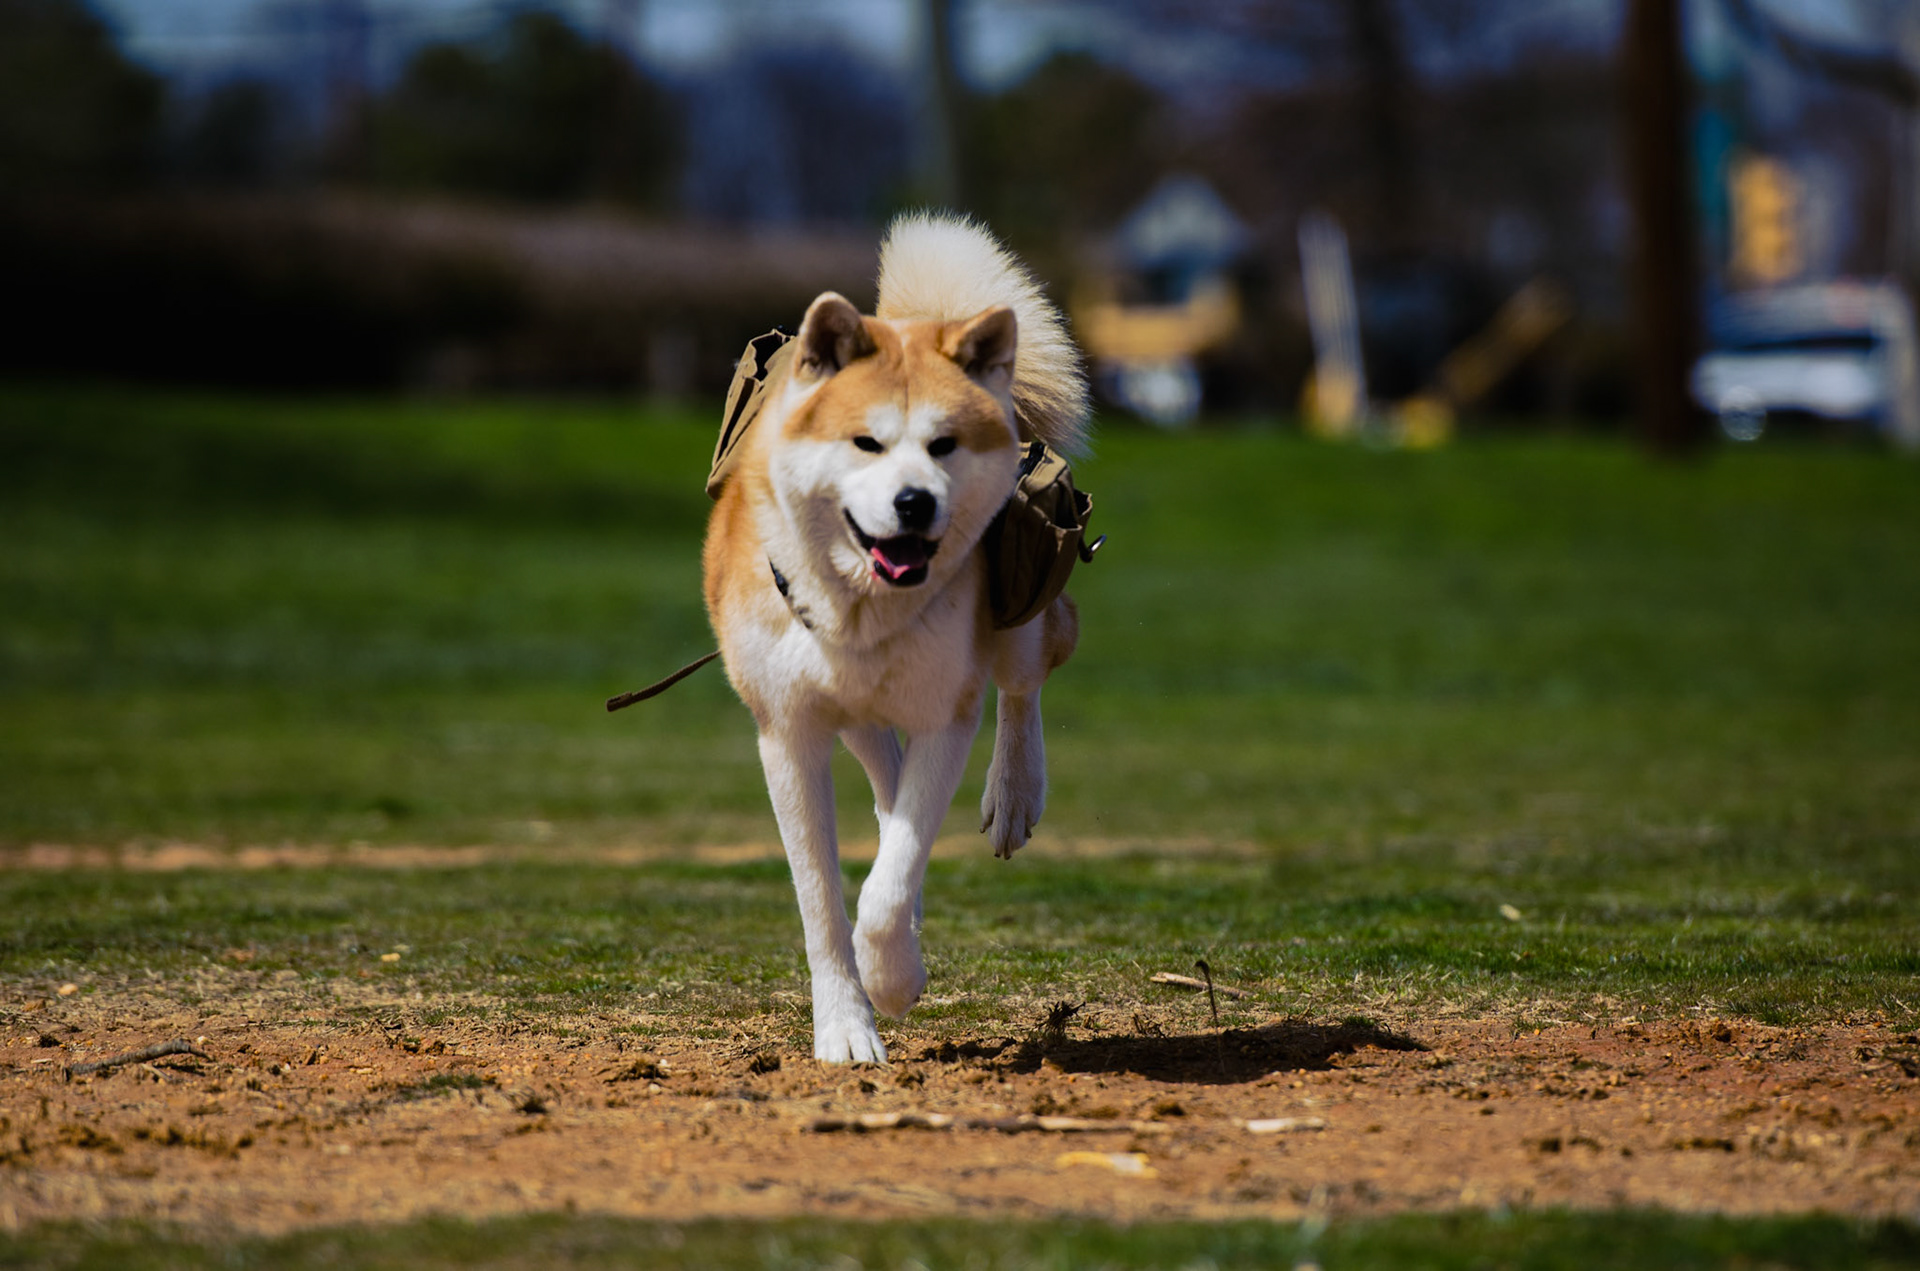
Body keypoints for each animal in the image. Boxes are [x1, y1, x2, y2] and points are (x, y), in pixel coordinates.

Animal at [702, 213, 1090, 1063]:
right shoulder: (789, 733)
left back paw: (1014, 793)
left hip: (1016, 621)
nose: (915, 503)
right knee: (887, 779)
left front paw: (892, 980)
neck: (864, 608)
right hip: (853, 713)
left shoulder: (947, 710)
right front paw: (847, 1025)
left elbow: (888, 881)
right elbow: (824, 899)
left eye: (944, 444)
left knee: (1023, 684)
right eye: (866, 443)